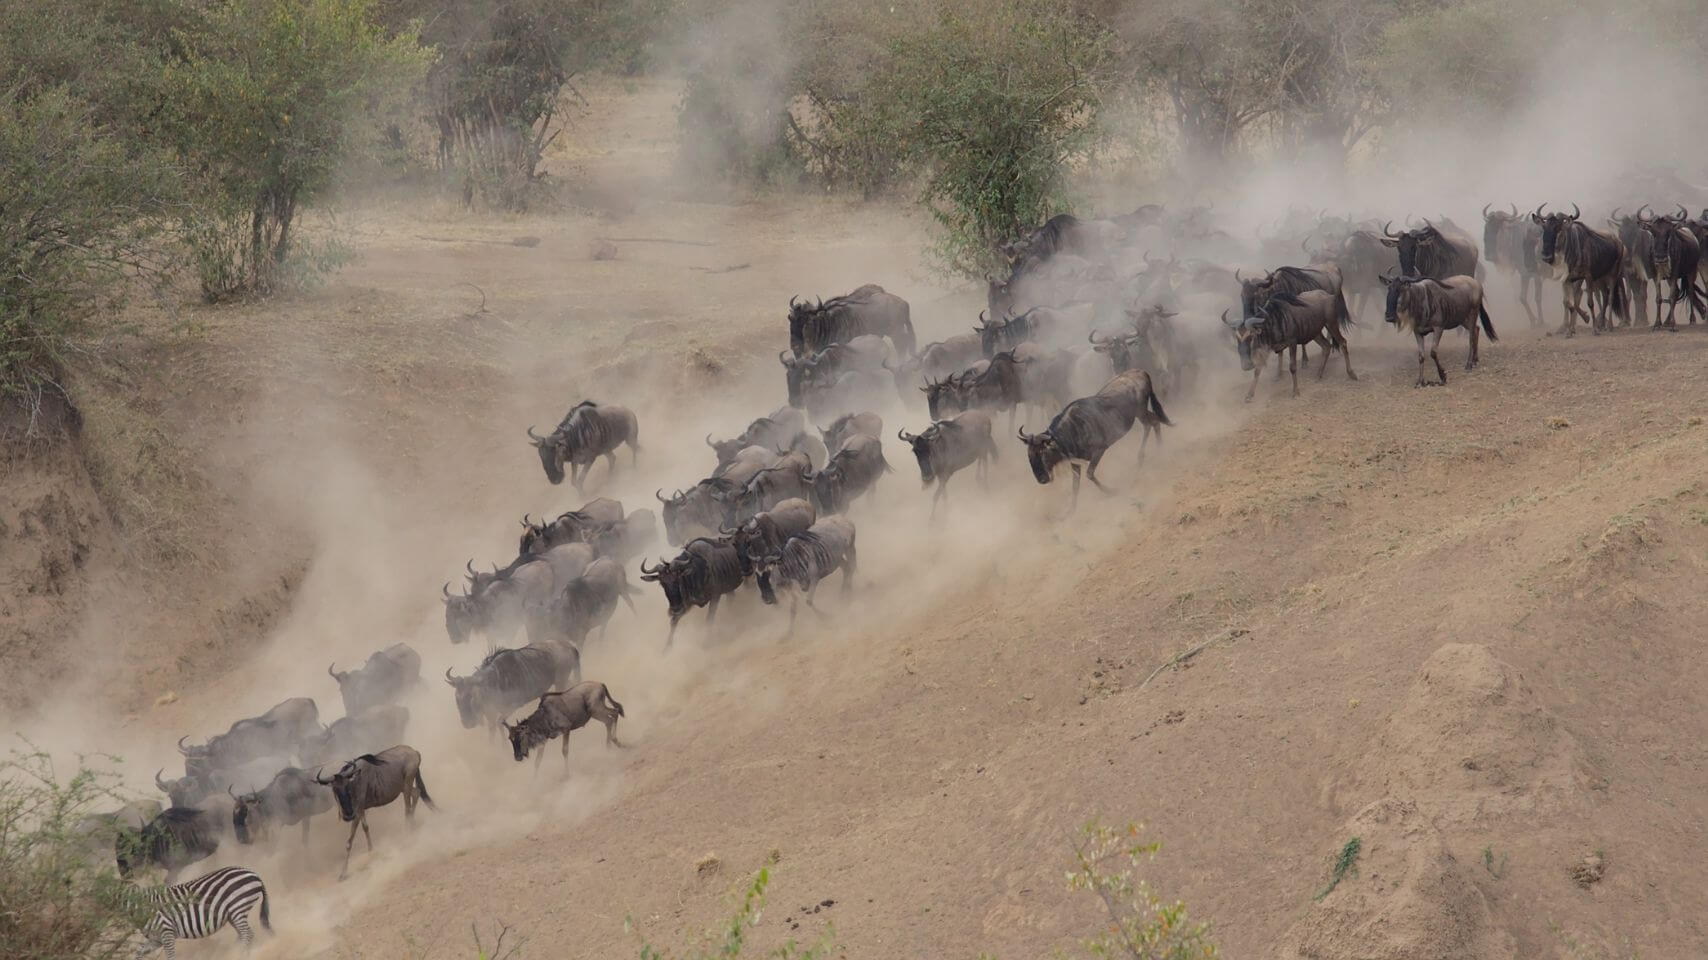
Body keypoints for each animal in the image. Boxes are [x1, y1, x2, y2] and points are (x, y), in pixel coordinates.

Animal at [124, 865, 270, 959]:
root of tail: (252, 873)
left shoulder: (166, 932)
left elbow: (171, 956)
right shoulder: (156, 939)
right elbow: (138, 953)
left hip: (238, 907)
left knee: (247, 934)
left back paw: (241, 955)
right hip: (232, 915)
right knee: (242, 935)